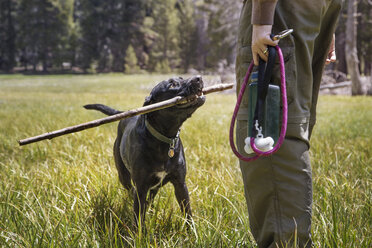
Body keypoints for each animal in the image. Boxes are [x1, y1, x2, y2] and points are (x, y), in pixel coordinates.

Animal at [84, 75, 205, 227]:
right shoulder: (141, 187)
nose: (199, 78)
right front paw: (139, 233)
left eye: (181, 78)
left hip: (154, 186)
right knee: (131, 191)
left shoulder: (180, 183)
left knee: (150, 198)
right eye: (171, 85)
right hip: (124, 176)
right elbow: (139, 219)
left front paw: (192, 231)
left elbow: (187, 213)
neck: (164, 140)